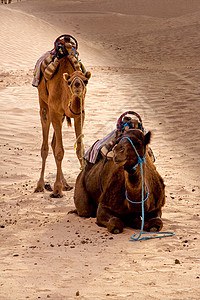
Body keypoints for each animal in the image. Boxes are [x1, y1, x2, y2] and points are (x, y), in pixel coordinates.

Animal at [34, 43, 91, 198]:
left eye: (85, 81)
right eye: (70, 81)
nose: (77, 86)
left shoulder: (79, 115)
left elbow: (80, 149)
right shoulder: (55, 112)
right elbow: (60, 151)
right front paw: (57, 189)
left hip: (61, 116)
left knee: (53, 144)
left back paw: (65, 184)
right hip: (45, 105)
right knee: (46, 146)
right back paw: (40, 185)